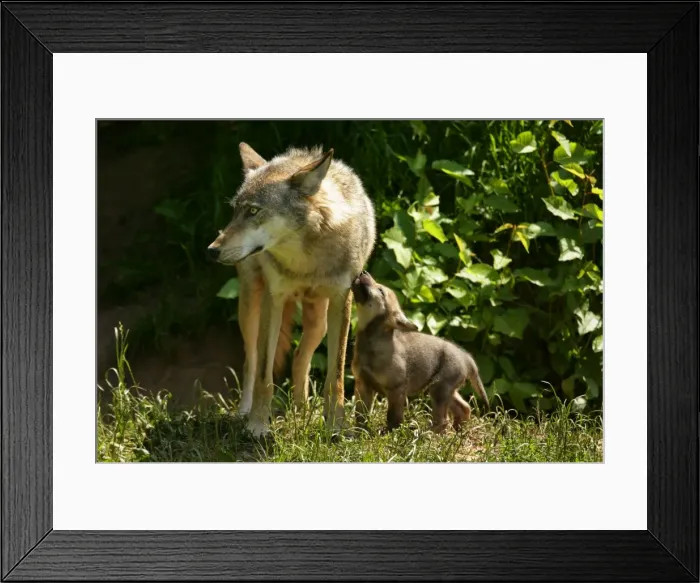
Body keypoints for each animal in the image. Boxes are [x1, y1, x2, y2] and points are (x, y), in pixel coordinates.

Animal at [208, 143, 376, 436]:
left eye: (253, 211)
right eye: (236, 211)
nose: (212, 250)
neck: (305, 261)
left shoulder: (342, 300)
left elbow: (336, 376)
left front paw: (335, 426)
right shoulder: (274, 299)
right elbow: (264, 375)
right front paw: (257, 425)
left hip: (319, 321)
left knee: (299, 359)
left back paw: (302, 414)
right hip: (250, 309)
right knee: (251, 361)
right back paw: (245, 413)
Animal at [350, 271, 489, 433]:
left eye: (381, 291)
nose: (363, 272)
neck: (371, 342)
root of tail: (467, 358)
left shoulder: (396, 390)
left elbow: (393, 417)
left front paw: (390, 434)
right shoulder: (362, 385)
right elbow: (361, 416)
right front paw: (359, 433)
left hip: (439, 390)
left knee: (443, 421)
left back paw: (431, 435)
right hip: (444, 390)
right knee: (464, 408)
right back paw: (459, 431)